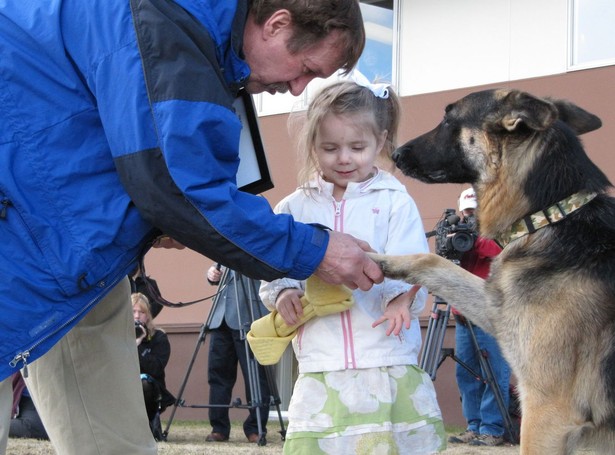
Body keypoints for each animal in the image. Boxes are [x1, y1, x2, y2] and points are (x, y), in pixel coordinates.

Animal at [370, 90, 615, 455]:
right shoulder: (496, 305)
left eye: (448, 119)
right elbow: (433, 262)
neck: (551, 215)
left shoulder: (547, 411)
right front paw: (371, 257)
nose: (396, 155)